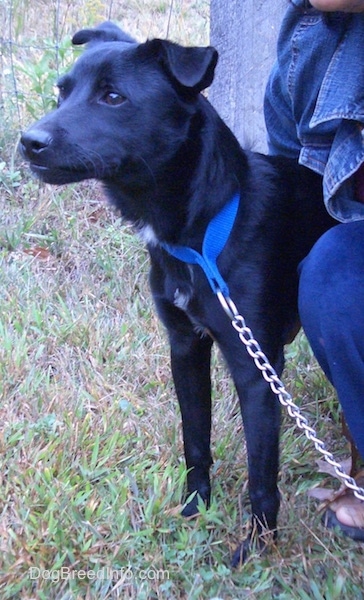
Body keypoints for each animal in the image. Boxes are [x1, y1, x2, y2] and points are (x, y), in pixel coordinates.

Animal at [17, 23, 336, 564]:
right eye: (62, 92)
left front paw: (256, 547)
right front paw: (194, 509)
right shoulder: (185, 347)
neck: (203, 233)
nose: (28, 141)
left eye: (113, 96)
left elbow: (261, 475)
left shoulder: (256, 366)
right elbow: (195, 439)